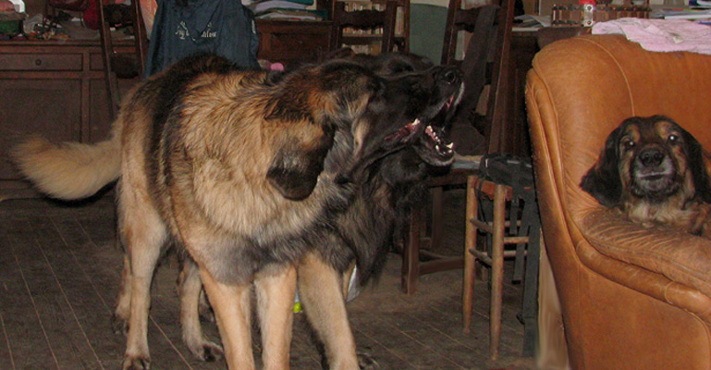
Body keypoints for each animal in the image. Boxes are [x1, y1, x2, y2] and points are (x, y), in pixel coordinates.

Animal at [13, 52, 464, 370]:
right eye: (375, 93)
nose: (453, 74)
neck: (264, 181)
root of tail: (152, 80)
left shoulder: (276, 275)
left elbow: (278, 351)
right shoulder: (232, 278)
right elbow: (250, 351)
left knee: (185, 282)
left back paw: (194, 340)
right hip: (150, 230)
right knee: (139, 282)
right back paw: (135, 343)